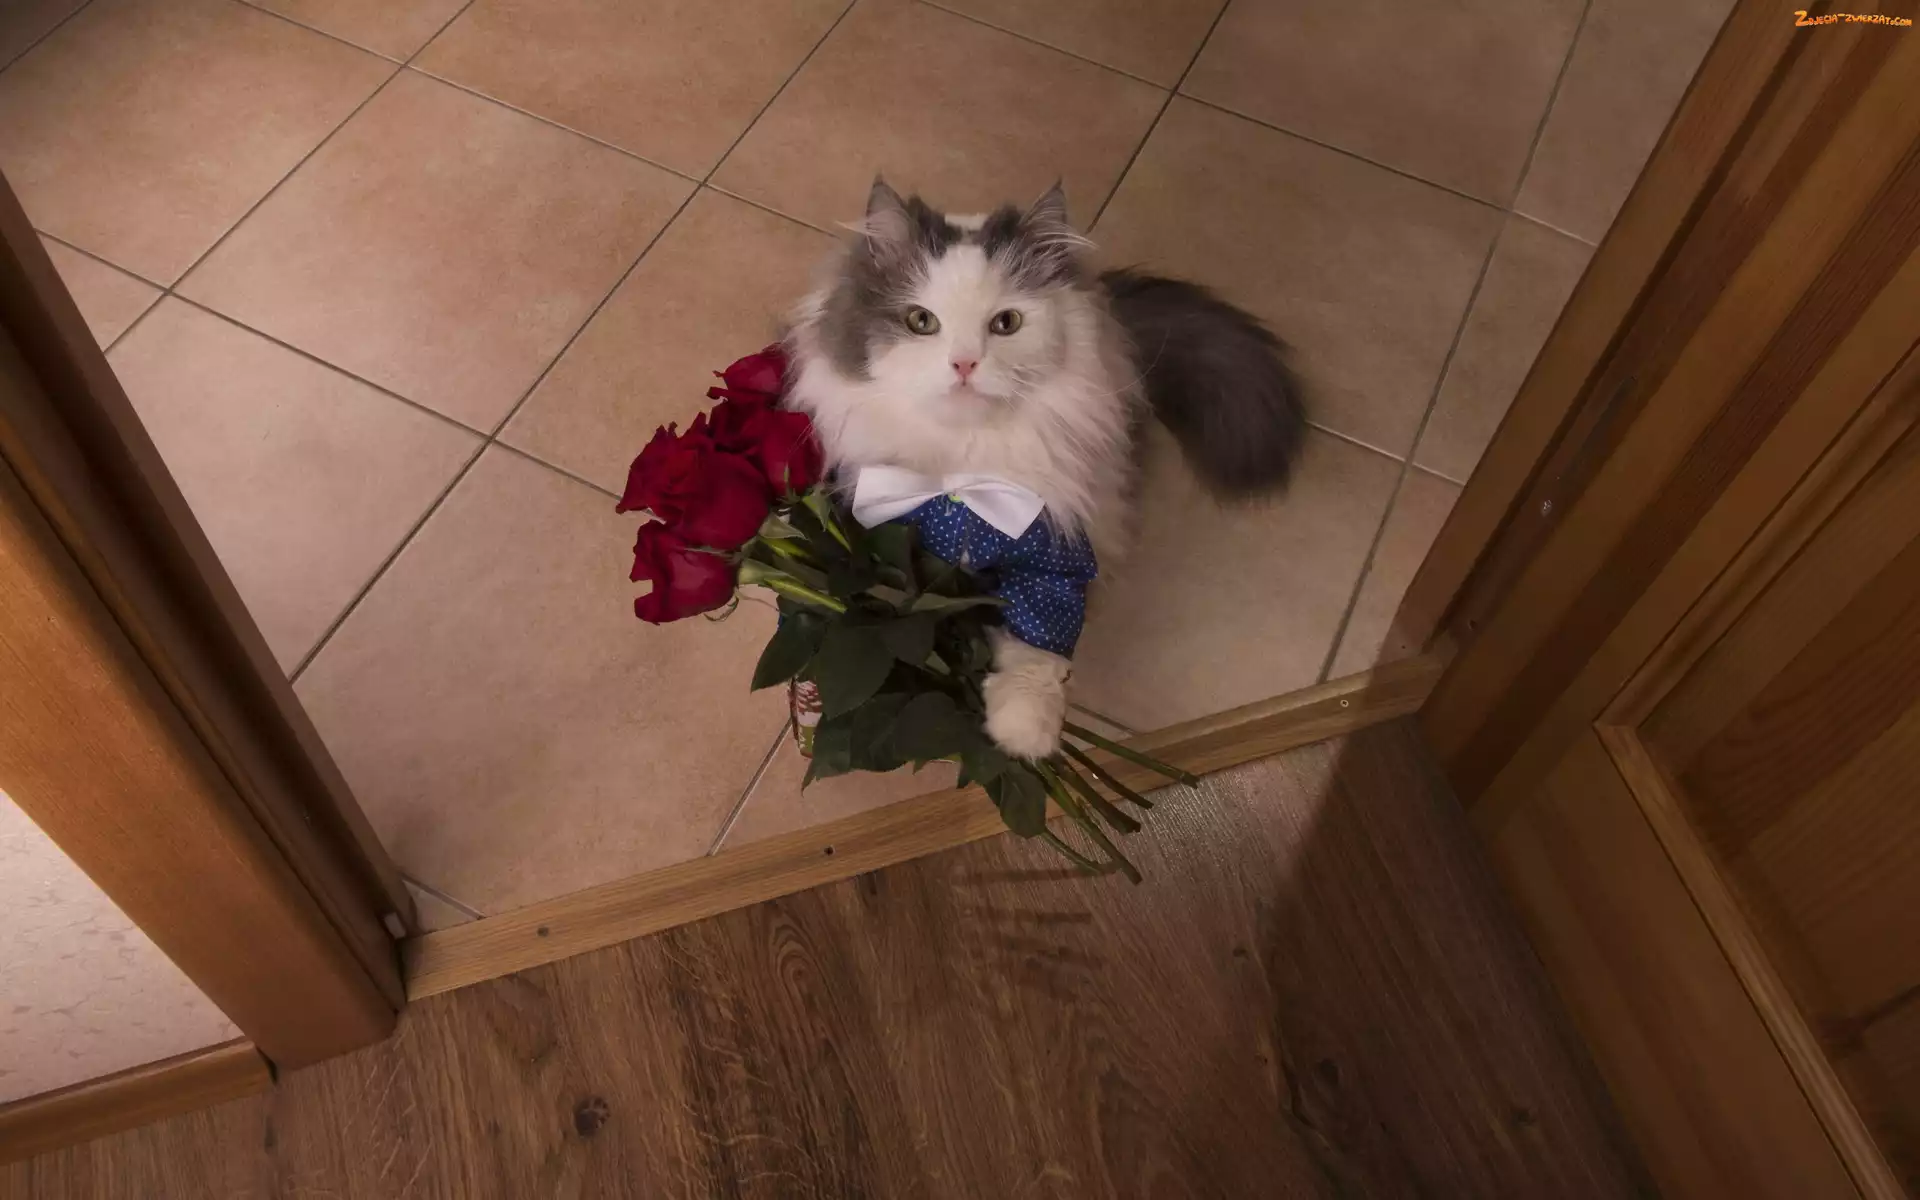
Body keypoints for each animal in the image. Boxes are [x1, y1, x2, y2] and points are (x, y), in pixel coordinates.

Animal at [784, 179, 1304, 760]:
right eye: (921, 322)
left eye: (1005, 324)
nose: (964, 364)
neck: (965, 469)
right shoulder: (880, 534)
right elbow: (882, 603)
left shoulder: (1053, 556)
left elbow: (1037, 647)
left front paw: (1021, 738)